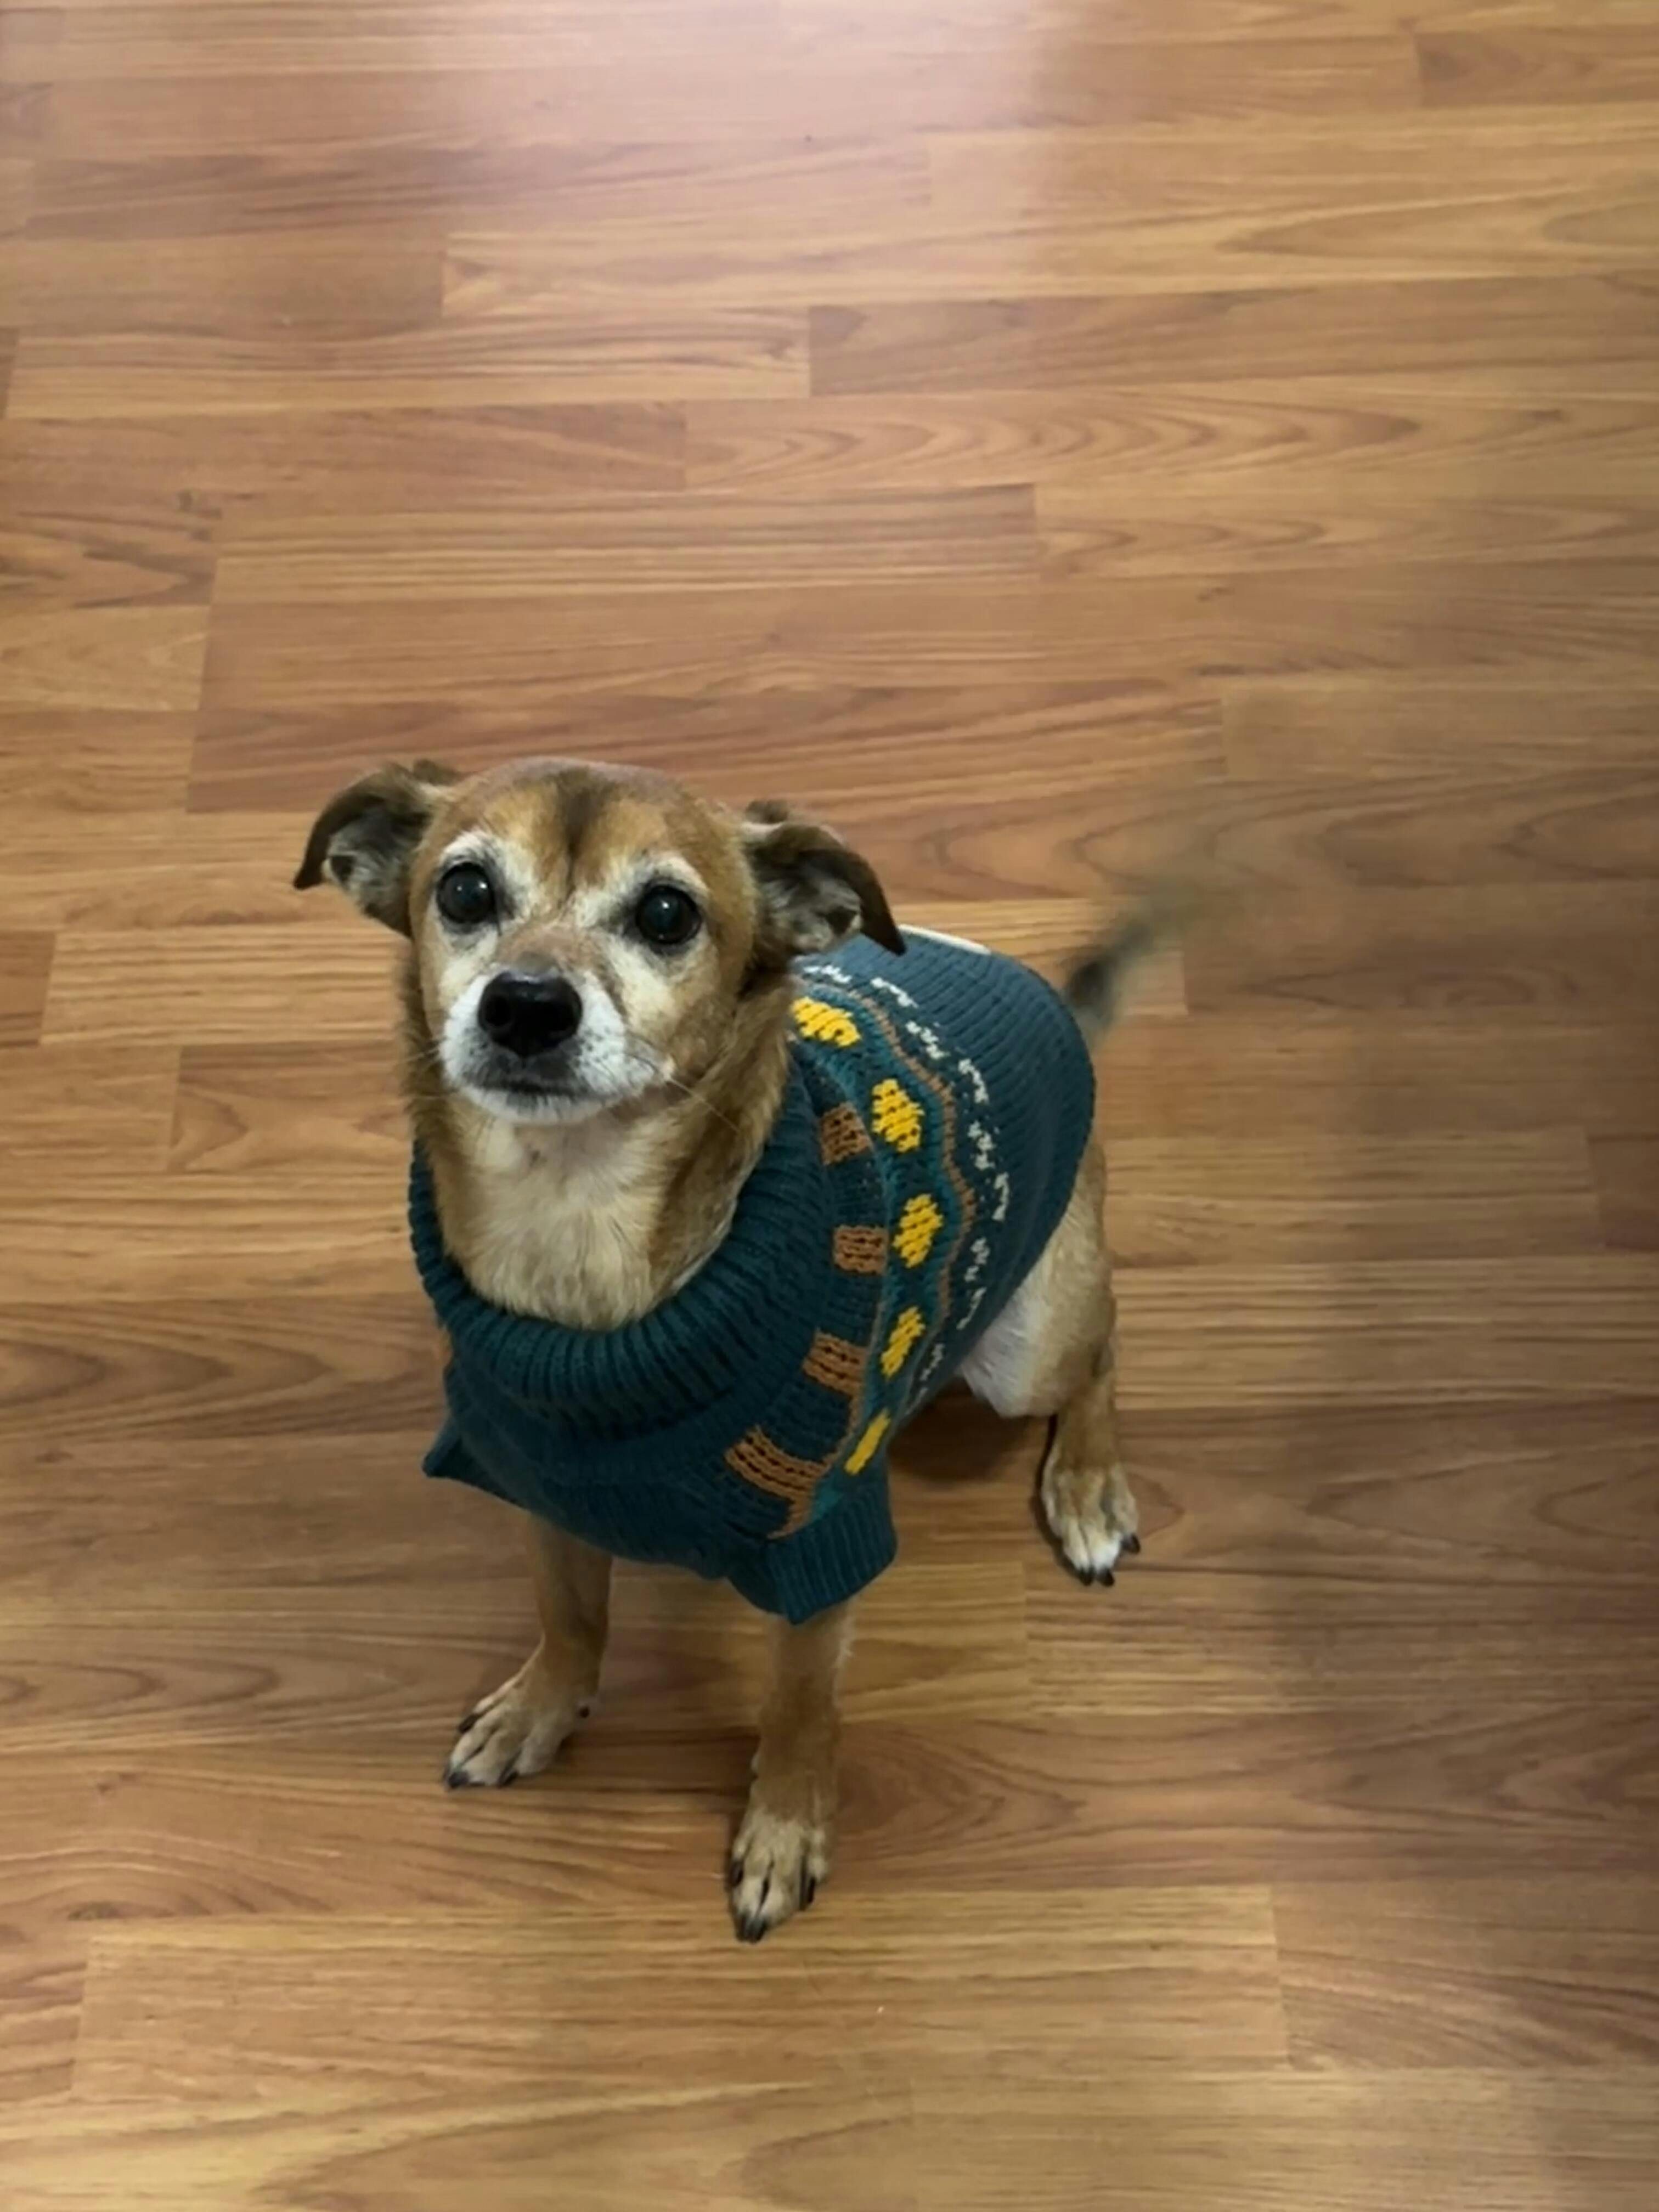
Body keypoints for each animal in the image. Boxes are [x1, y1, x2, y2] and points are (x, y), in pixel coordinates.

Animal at [296, 757, 1143, 1941]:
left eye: (666, 913)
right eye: (462, 891)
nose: (525, 1004)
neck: (576, 1233)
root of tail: (1051, 999)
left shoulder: (821, 1550)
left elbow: (799, 1706)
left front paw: (784, 1828)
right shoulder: (543, 1489)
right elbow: (570, 1617)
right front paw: (541, 1711)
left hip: (1029, 1347)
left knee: (1102, 1348)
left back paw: (1088, 1487)